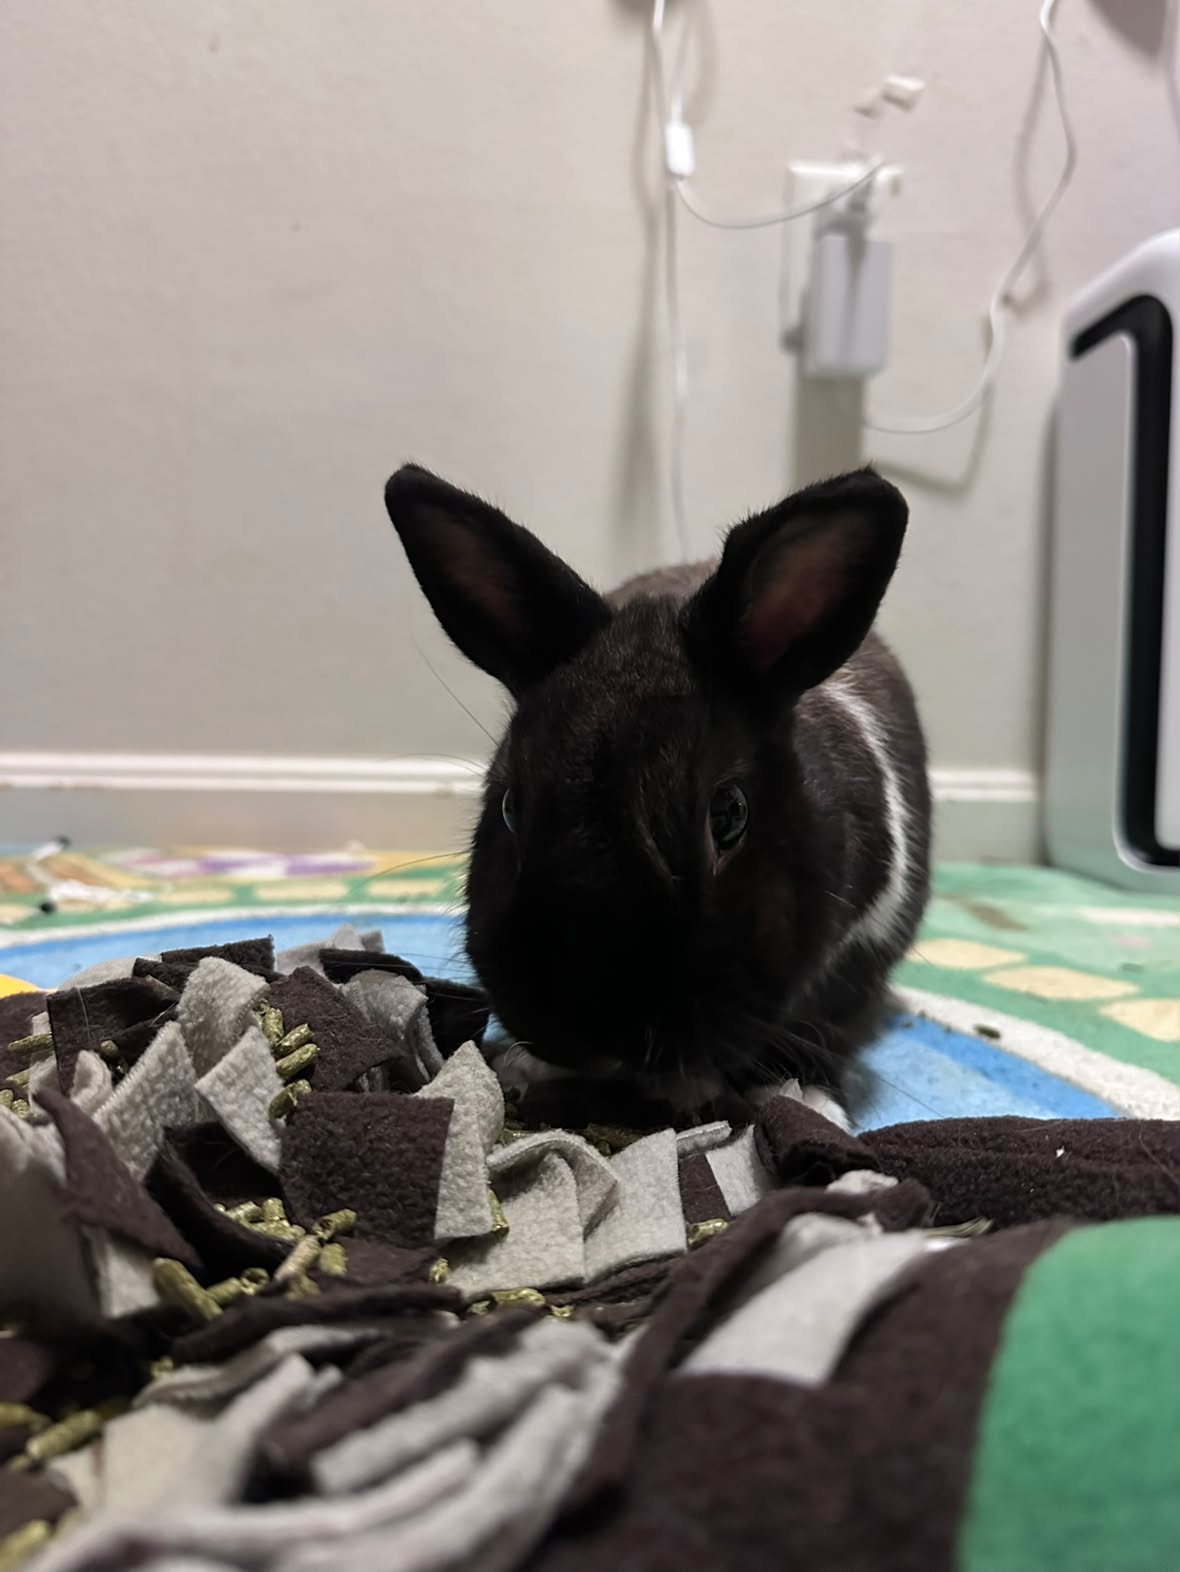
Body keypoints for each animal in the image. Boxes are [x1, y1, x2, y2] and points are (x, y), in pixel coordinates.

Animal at [384, 463, 931, 1123]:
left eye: (730, 814)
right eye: (510, 806)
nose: (589, 1027)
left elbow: (818, 1036)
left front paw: (810, 1103)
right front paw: (529, 1069)